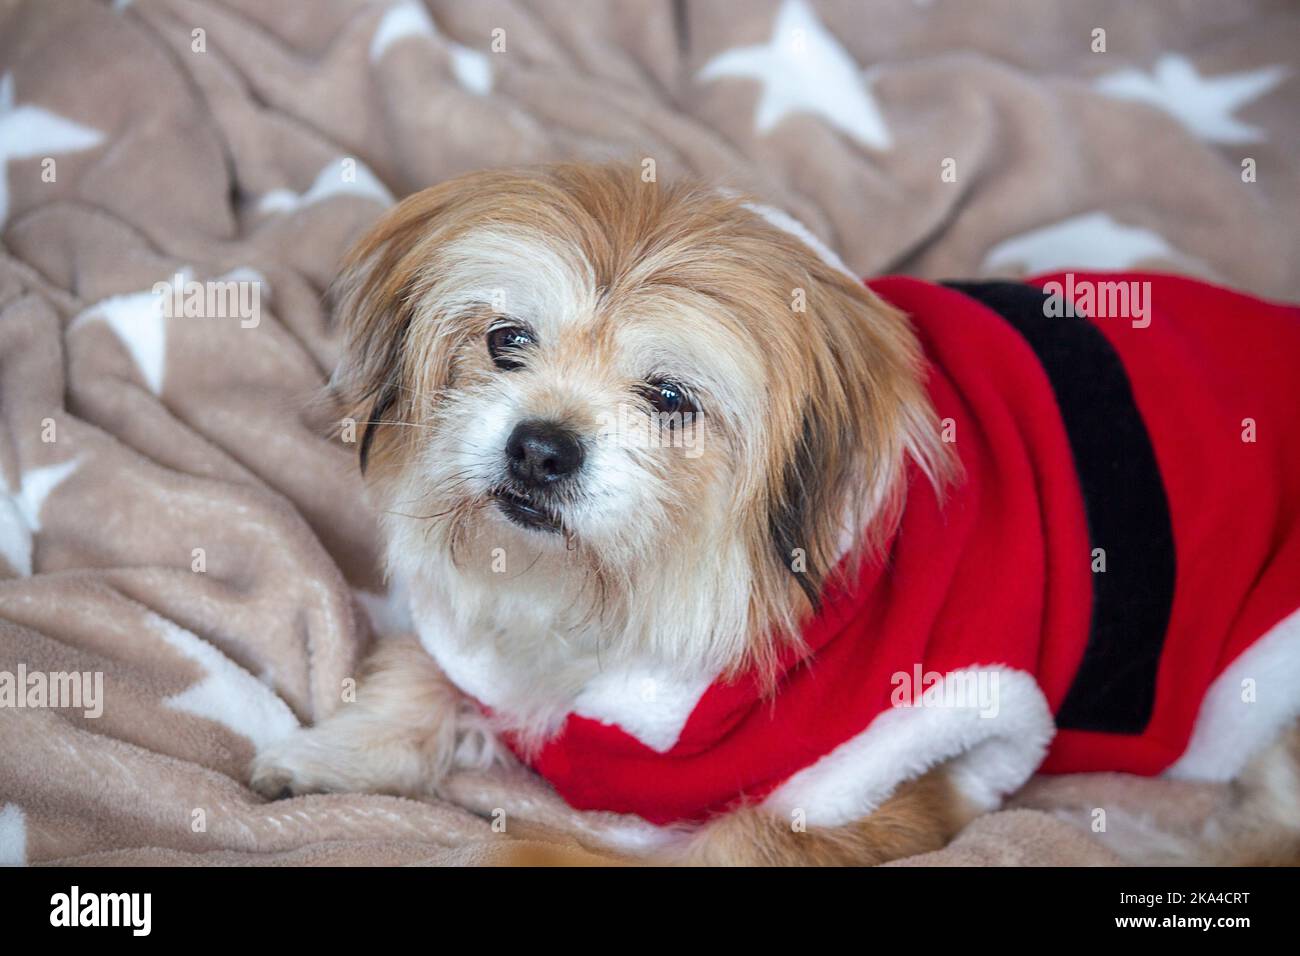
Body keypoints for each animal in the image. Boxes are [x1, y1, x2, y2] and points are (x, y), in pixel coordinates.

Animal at [250, 164, 1300, 868]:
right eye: (508, 341)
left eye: (670, 398)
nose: (539, 448)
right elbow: (421, 679)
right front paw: (330, 753)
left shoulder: (881, 780)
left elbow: (714, 844)